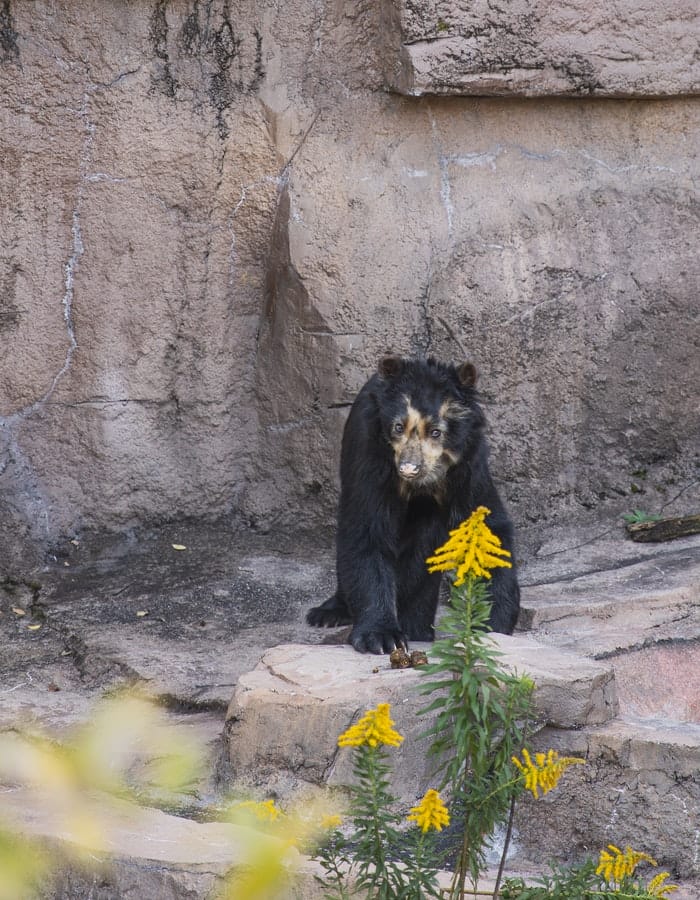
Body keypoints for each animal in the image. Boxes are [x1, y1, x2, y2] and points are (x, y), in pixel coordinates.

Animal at [306, 355, 520, 654]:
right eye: (398, 427)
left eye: (436, 432)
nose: (408, 468)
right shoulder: (371, 456)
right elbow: (367, 531)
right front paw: (382, 637)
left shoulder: (468, 466)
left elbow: (488, 528)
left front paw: (493, 622)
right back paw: (327, 613)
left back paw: (418, 628)